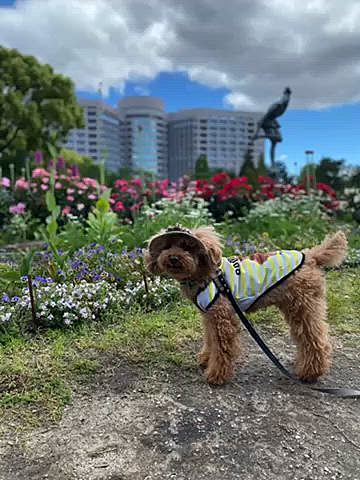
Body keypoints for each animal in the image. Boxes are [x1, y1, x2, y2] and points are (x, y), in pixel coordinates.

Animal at [144, 228, 348, 386]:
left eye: (187, 246)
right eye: (167, 246)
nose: (173, 257)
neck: (205, 275)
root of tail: (311, 256)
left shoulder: (221, 317)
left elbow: (223, 348)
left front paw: (216, 376)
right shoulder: (209, 316)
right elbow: (210, 339)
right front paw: (206, 359)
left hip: (303, 306)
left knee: (315, 340)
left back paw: (310, 373)